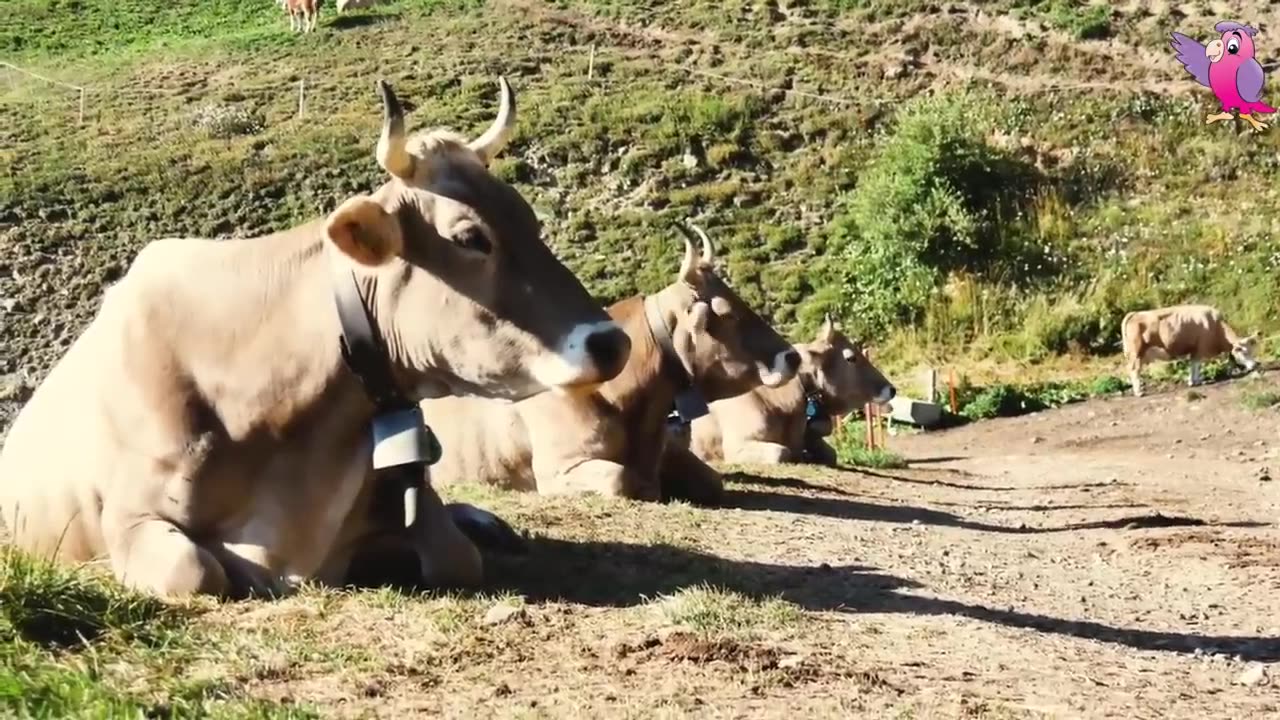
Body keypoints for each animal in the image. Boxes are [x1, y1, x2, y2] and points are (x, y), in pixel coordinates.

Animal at [0, 77, 629, 594]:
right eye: (471, 237)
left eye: (529, 218)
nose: (612, 342)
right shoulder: (131, 515)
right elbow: (197, 572)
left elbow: (456, 555)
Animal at [1121, 299, 1259, 394]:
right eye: (1244, 352)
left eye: (1252, 351)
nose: (1254, 365)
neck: (1216, 327)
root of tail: (1134, 313)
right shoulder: (1200, 348)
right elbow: (1196, 364)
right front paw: (1196, 381)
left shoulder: (1194, 349)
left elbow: (1193, 364)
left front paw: (1192, 381)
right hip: (1136, 352)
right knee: (1134, 370)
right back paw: (1139, 392)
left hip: (1139, 354)